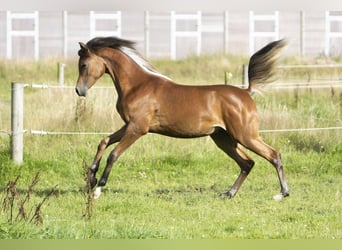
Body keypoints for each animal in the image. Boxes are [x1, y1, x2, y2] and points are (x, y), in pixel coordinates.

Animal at [75, 36, 288, 200]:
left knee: (273, 155)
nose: (79, 90)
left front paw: (98, 188)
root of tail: (246, 92)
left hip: (245, 135)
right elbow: (103, 142)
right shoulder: (129, 125)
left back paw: (281, 193)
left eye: (84, 64)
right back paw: (228, 193)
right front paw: (91, 178)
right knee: (247, 163)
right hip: (223, 138)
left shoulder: (137, 129)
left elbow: (113, 154)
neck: (138, 85)